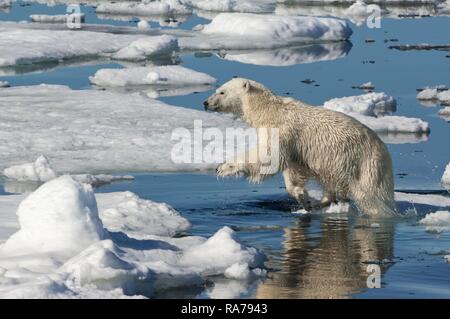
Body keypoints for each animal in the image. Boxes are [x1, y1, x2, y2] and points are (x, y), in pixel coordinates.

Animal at [205, 79, 398, 216]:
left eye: (221, 91)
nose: (205, 103)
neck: (269, 110)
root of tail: (384, 150)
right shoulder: (295, 145)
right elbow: (294, 170)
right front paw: (305, 199)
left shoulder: (282, 130)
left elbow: (269, 156)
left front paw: (225, 167)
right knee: (330, 181)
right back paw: (323, 201)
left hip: (367, 163)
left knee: (371, 195)